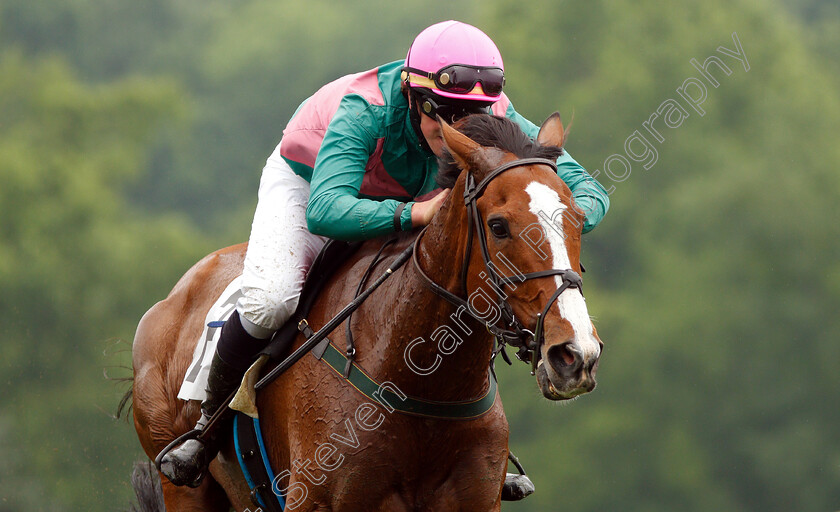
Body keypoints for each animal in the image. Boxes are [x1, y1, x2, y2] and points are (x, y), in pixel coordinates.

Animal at [130, 114, 604, 510]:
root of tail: (172, 298)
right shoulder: (315, 500)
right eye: (499, 226)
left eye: (579, 218)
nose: (574, 355)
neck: (422, 381)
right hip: (184, 486)